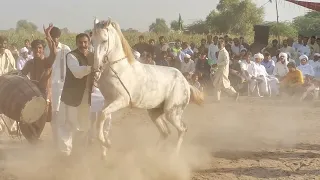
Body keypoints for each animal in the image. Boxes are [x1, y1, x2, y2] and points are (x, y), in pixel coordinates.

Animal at [91, 17, 204, 158]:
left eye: (104, 40)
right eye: (92, 40)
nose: (96, 68)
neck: (118, 69)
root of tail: (186, 84)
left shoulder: (122, 100)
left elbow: (102, 115)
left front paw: (106, 143)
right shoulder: (108, 100)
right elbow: (101, 118)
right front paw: (104, 149)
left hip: (172, 112)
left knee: (182, 129)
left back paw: (173, 156)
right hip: (154, 112)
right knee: (165, 132)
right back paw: (152, 156)